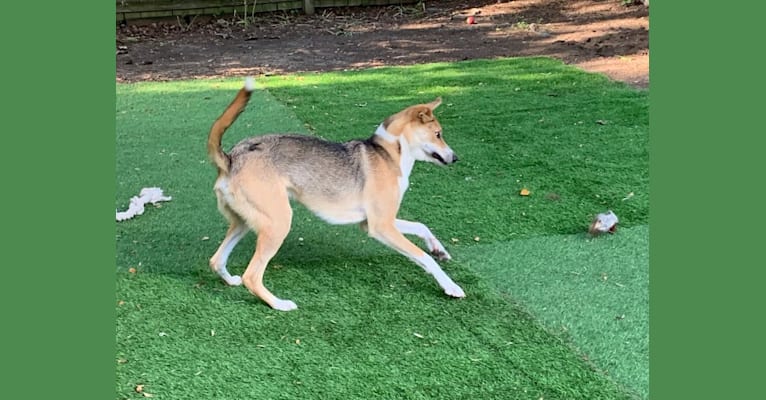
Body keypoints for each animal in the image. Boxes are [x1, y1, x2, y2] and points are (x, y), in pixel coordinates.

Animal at [207, 76, 464, 310]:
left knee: (216, 260)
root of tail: (231, 158)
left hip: (245, 222)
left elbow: (422, 227)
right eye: (438, 134)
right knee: (252, 276)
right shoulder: (382, 227)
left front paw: (439, 249)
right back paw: (279, 304)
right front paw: (450, 286)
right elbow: (423, 257)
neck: (388, 153)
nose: (455, 158)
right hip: (278, 222)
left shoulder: (376, 222)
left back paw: (231, 280)